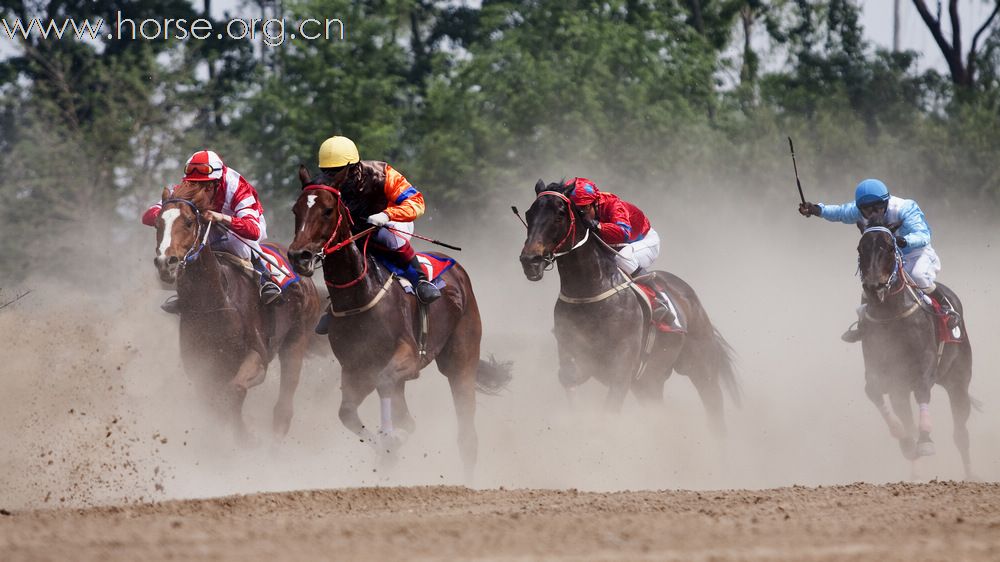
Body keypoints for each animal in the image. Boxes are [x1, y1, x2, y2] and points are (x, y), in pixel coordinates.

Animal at [151, 182, 320, 440]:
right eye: (158, 223)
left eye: (189, 222)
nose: (165, 263)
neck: (213, 304)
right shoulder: (201, 367)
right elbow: (215, 403)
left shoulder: (258, 356)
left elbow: (235, 391)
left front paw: (245, 438)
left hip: (296, 339)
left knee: (284, 406)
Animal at [286, 164, 512, 474]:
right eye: (295, 210)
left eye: (328, 210)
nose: (300, 256)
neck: (360, 294)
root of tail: (457, 270)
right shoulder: (356, 369)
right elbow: (348, 413)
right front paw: (388, 447)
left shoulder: (408, 356)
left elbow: (386, 388)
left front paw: (391, 438)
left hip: (461, 360)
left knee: (467, 435)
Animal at [520, 179, 740, 434]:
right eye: (529, 213)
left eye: (559, 215)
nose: (530, 261)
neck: (588, 293)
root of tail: (690, 297)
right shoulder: (575, 355)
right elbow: (569, 377)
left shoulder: (622, 367)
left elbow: (609, 410)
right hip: (649, 381)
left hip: (700, 365)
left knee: (714, 406)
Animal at [852, 215, 976, 476]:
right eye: (860, 248)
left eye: (889, 248)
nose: (874, 287)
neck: (891, 313)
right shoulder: (883, 369)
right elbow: (872, 390)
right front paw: (904, 438)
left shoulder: (926, 362)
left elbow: (922, 390)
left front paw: (925, 439)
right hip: (901, 389)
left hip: (958, 381)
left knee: (961, 434)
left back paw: (971, 474)